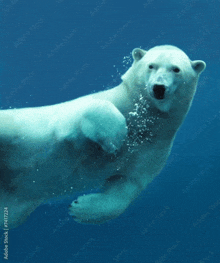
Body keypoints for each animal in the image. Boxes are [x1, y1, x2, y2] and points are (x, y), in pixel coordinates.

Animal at [0, 45, 206, 229]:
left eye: (176, 69)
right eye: (151, 66)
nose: (159, 88)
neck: (143, 118)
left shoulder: (155, 146)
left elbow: (128, 183)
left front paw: (80, 209)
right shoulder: (68, 118)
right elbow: (89, 111)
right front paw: (115, 137)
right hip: (14, 129)